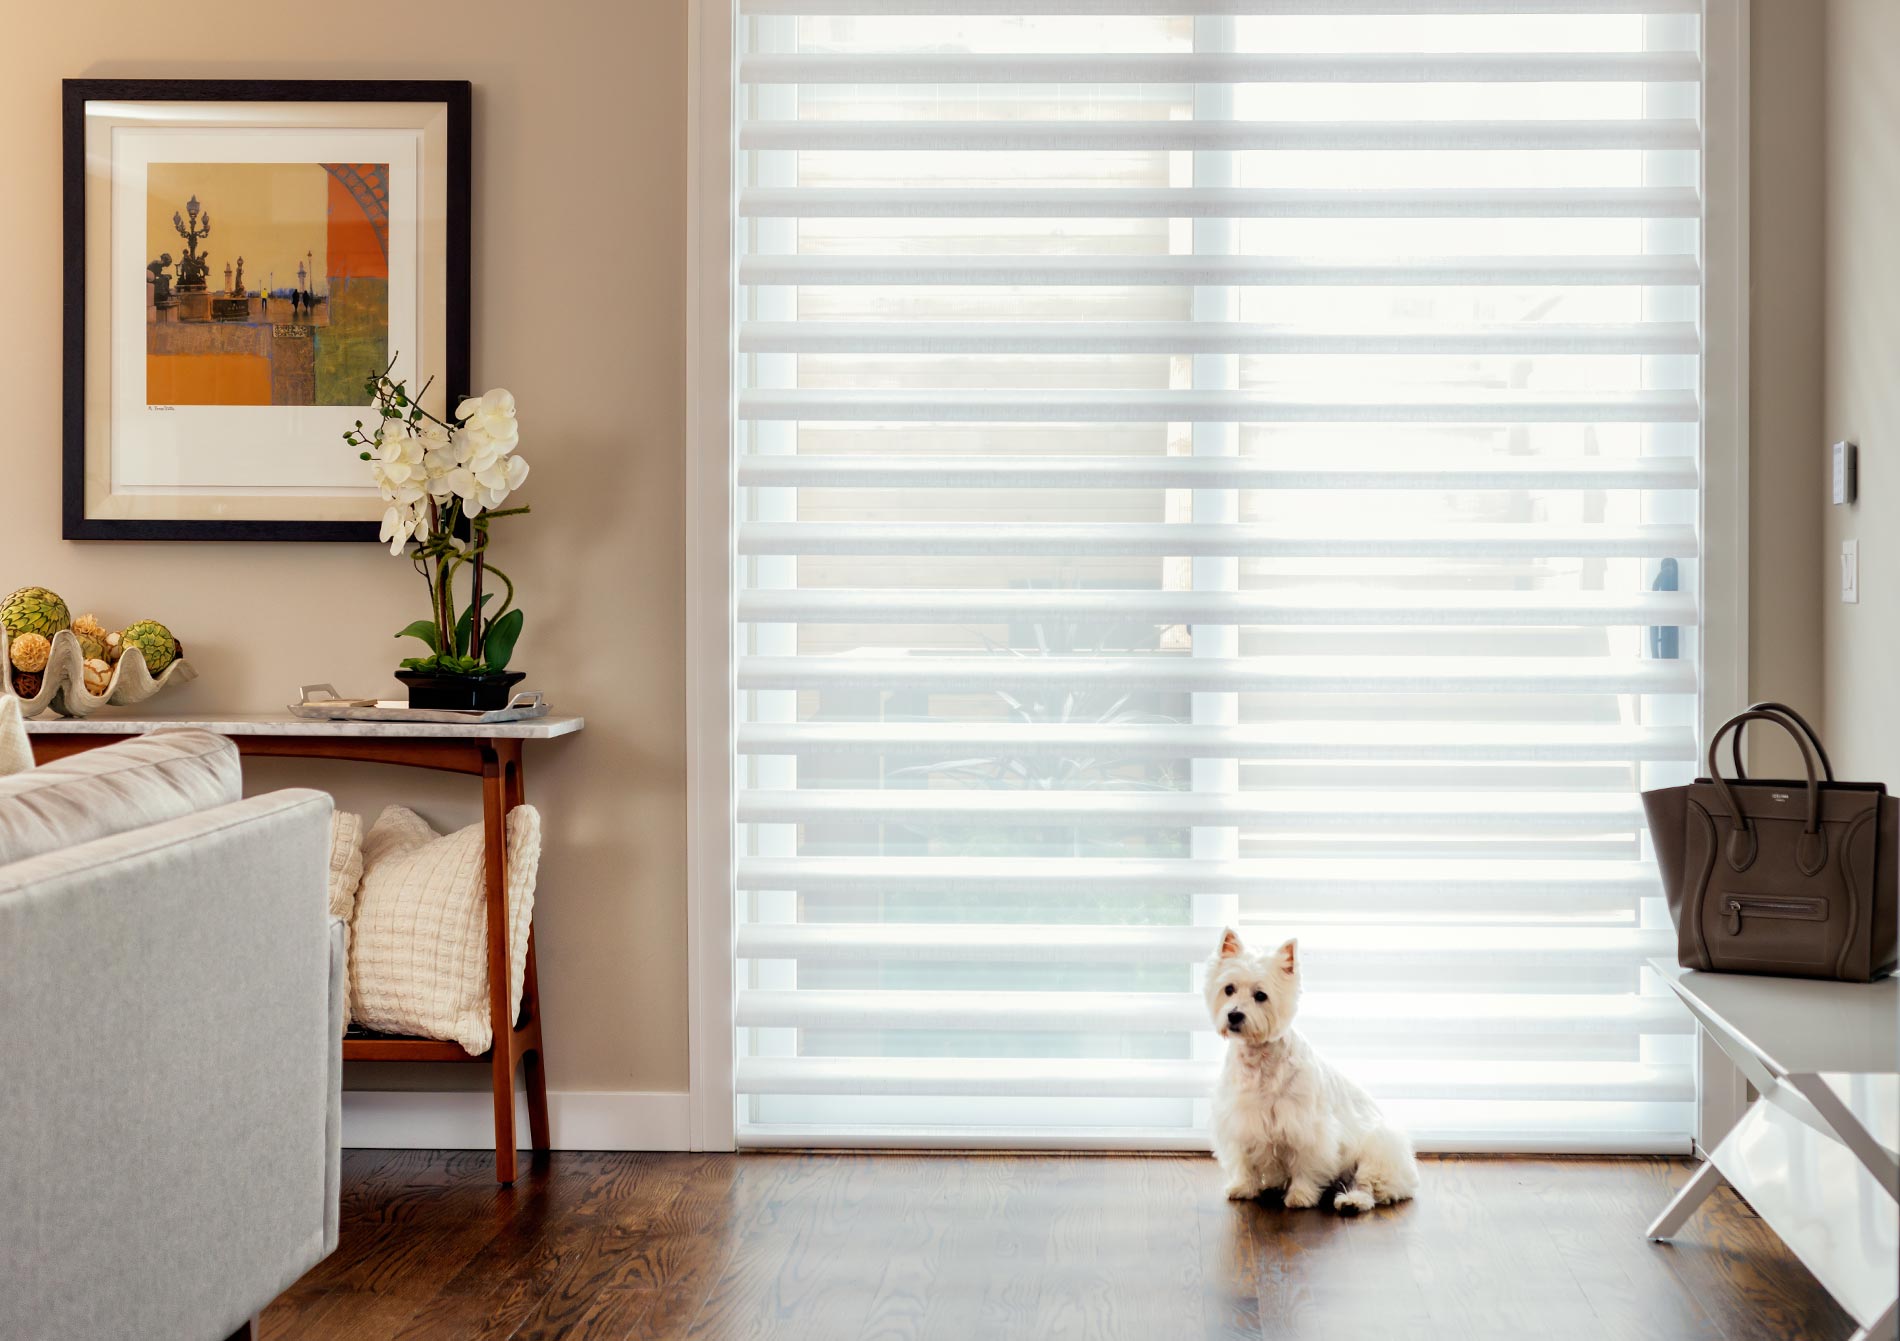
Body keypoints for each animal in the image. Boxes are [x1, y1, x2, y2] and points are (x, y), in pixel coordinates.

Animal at [1208, 923, 1421, 1208]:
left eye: (1261, 995)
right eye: (1228, 989)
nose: (1234, 1015)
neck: (1260, 1059)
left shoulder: (1308, 1129)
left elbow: (1305, 1165)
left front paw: (1300, 1195)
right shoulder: (1240, 1121)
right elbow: (1244, 1160)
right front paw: (1243, 1187)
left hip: (1376, 1148)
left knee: (1371, 1185)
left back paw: (1352, 1201)